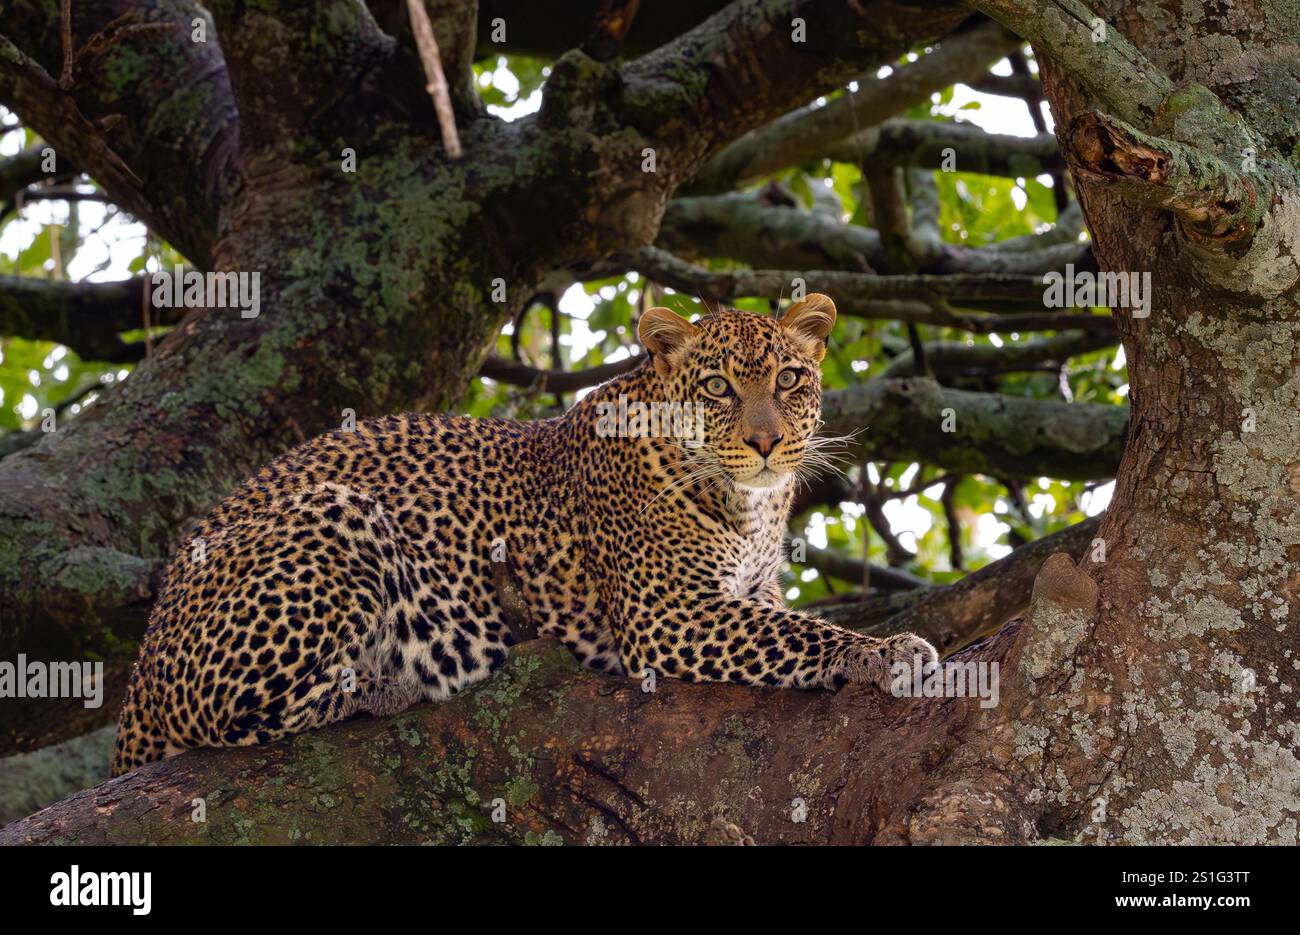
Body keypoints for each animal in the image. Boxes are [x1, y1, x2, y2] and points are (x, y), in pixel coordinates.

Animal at [111, 293, 937, 776]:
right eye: (717, 388)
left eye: (791, 379)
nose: (766, 443)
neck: (749, 505)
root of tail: (140, 672)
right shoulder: (669, 615)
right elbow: (800, 636)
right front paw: (887, 652)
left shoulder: (749, 590)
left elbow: (785, 619)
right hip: (334, 513)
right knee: (237, 716)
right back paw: (403, 677)